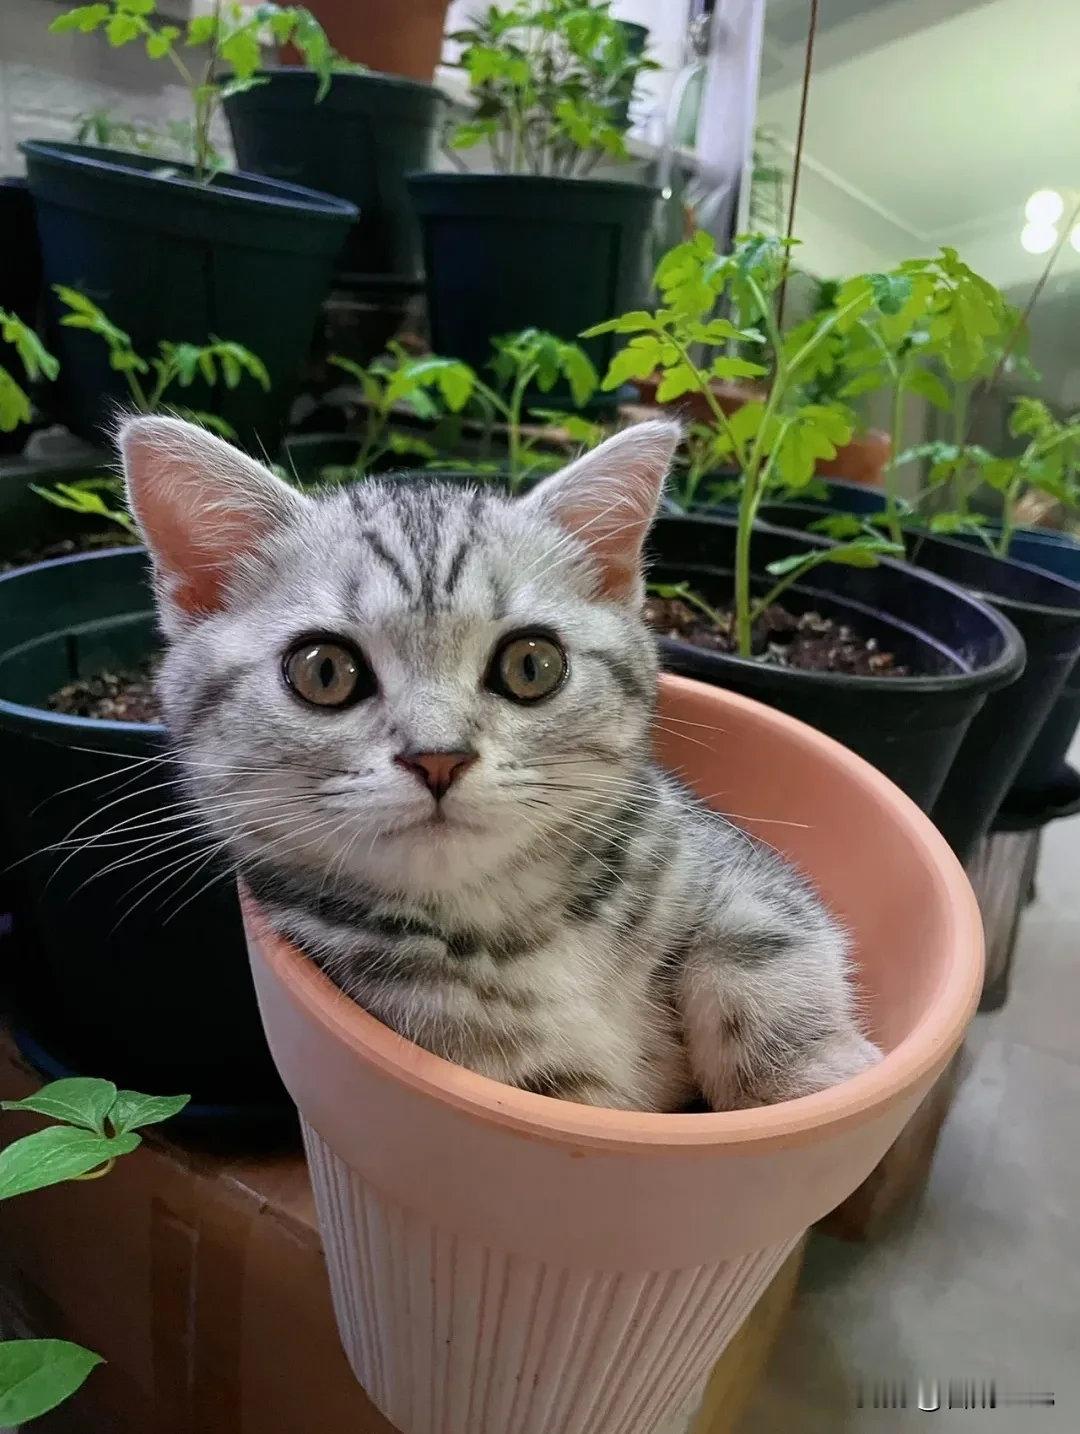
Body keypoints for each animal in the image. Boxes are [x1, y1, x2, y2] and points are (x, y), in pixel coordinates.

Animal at [120, 414, 881, 1113]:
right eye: (324, 671)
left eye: (532, 665)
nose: (438, 757)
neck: (516, 920)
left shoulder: (728, 865)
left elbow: (760, 949)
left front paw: (814, 1080)